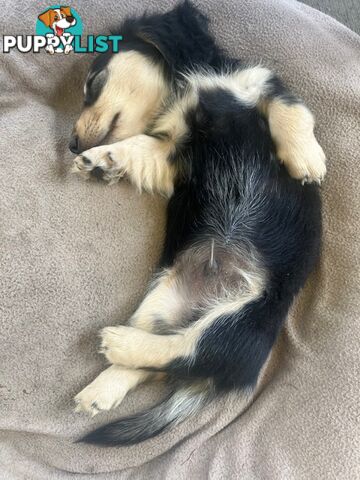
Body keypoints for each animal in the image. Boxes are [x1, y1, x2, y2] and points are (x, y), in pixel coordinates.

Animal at [69, 1, 326, 448]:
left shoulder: (261, 84)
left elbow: (290, 108)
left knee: (187, 354)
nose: (70, 146)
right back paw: (102, 384)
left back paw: (115, 347)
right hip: (162, 300)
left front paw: (306, 160)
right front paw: (102, 160)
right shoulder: (166, 153)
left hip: (239, 321)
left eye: (93, 83)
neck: (185, 93)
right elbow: (135, 147)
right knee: (168, 357)